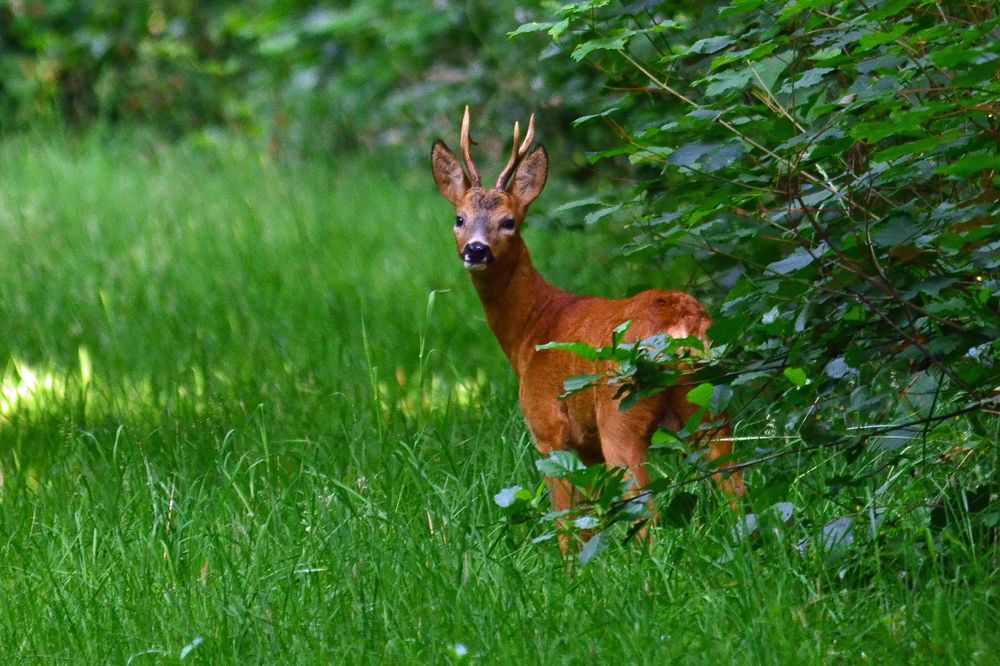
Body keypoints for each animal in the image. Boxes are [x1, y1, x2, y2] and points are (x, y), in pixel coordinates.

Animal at [430, 106, 744, 544]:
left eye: (509, 222)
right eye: (459, 218)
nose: (476, 250)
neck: (531, 329)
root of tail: (680, 320)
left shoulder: (549, 429)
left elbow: (567, 521)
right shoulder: (587, 444)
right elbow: (592, 516)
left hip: (621, 408)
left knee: (646, 508)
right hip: (709, 399)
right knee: (737, 488)